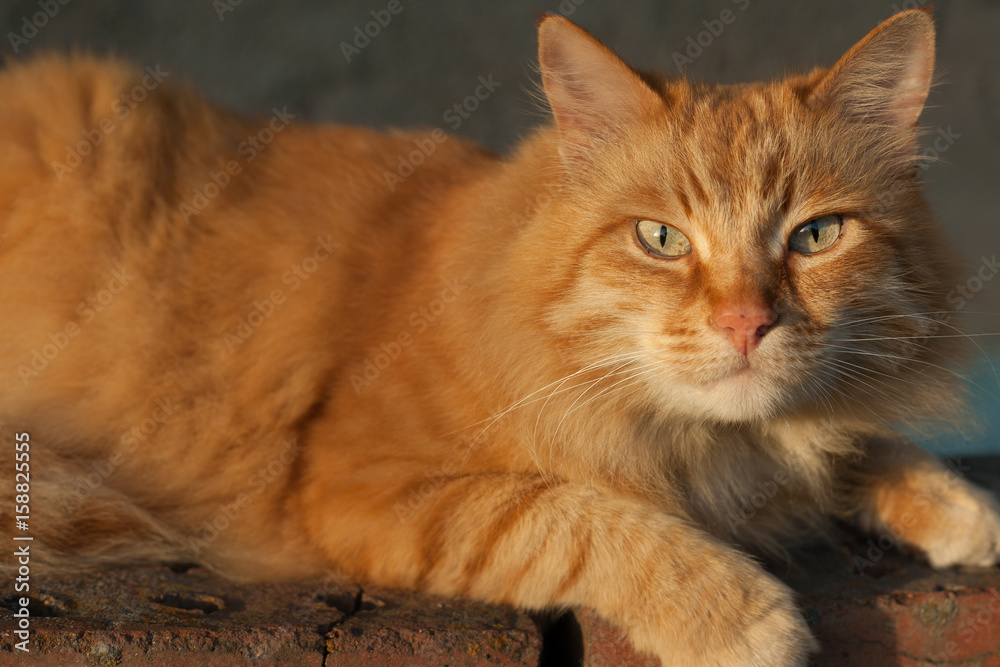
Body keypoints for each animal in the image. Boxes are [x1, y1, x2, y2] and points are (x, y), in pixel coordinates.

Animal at [1, 7, 1000, 664]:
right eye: (662, 240)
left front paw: (958, 509)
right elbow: (576, 519)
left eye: (816, 236)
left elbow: (862, 443)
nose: (745, 322)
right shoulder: (364, 486)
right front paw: (742, 619)